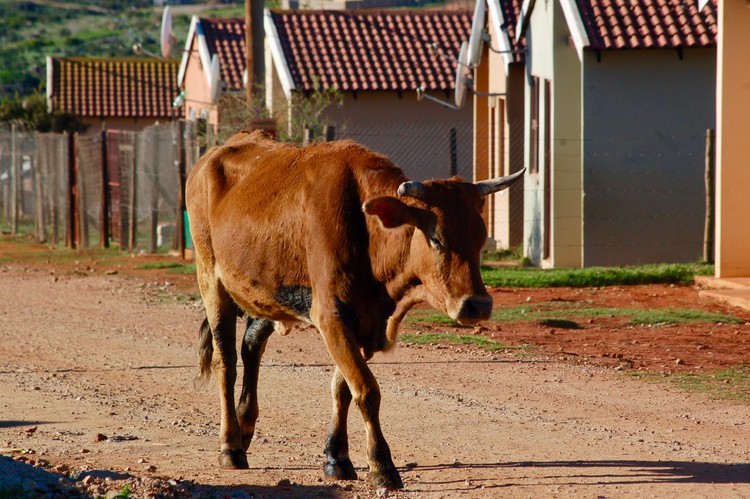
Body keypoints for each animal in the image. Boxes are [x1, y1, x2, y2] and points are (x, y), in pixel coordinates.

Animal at [187, 130, 524, 492]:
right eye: (437, 237)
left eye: (480, 237)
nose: (478, 305)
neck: (367, 231)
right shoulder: (332, 316)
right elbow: (366, 390)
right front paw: (381, 464)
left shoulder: (365, 322)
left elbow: (343, 389)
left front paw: (337, 457)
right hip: (211, 281)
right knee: (226, 362)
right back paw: (231, 446)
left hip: (265, 293)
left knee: (251, 347)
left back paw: (245, 427)